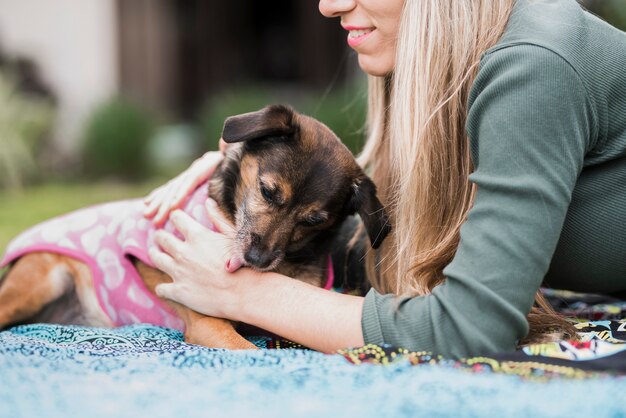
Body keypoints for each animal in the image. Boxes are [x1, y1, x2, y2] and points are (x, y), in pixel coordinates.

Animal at [0, 104, 390, 350]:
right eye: (267, 191)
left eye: (313, 221)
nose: (257, 258)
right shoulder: (208, 326)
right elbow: (253, 352)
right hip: (37, 283)